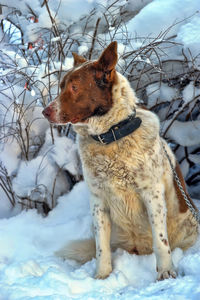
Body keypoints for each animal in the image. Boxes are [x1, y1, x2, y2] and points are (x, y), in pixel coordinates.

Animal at [42, 41, 198, 280]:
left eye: (75, 87)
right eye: (61, 86)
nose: (45, 112)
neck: (111, 136)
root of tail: (139, 249)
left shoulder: (152, 194)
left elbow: (161, 241)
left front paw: (165, 272)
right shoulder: (98, 200)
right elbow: (101, 247)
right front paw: (102, 276)